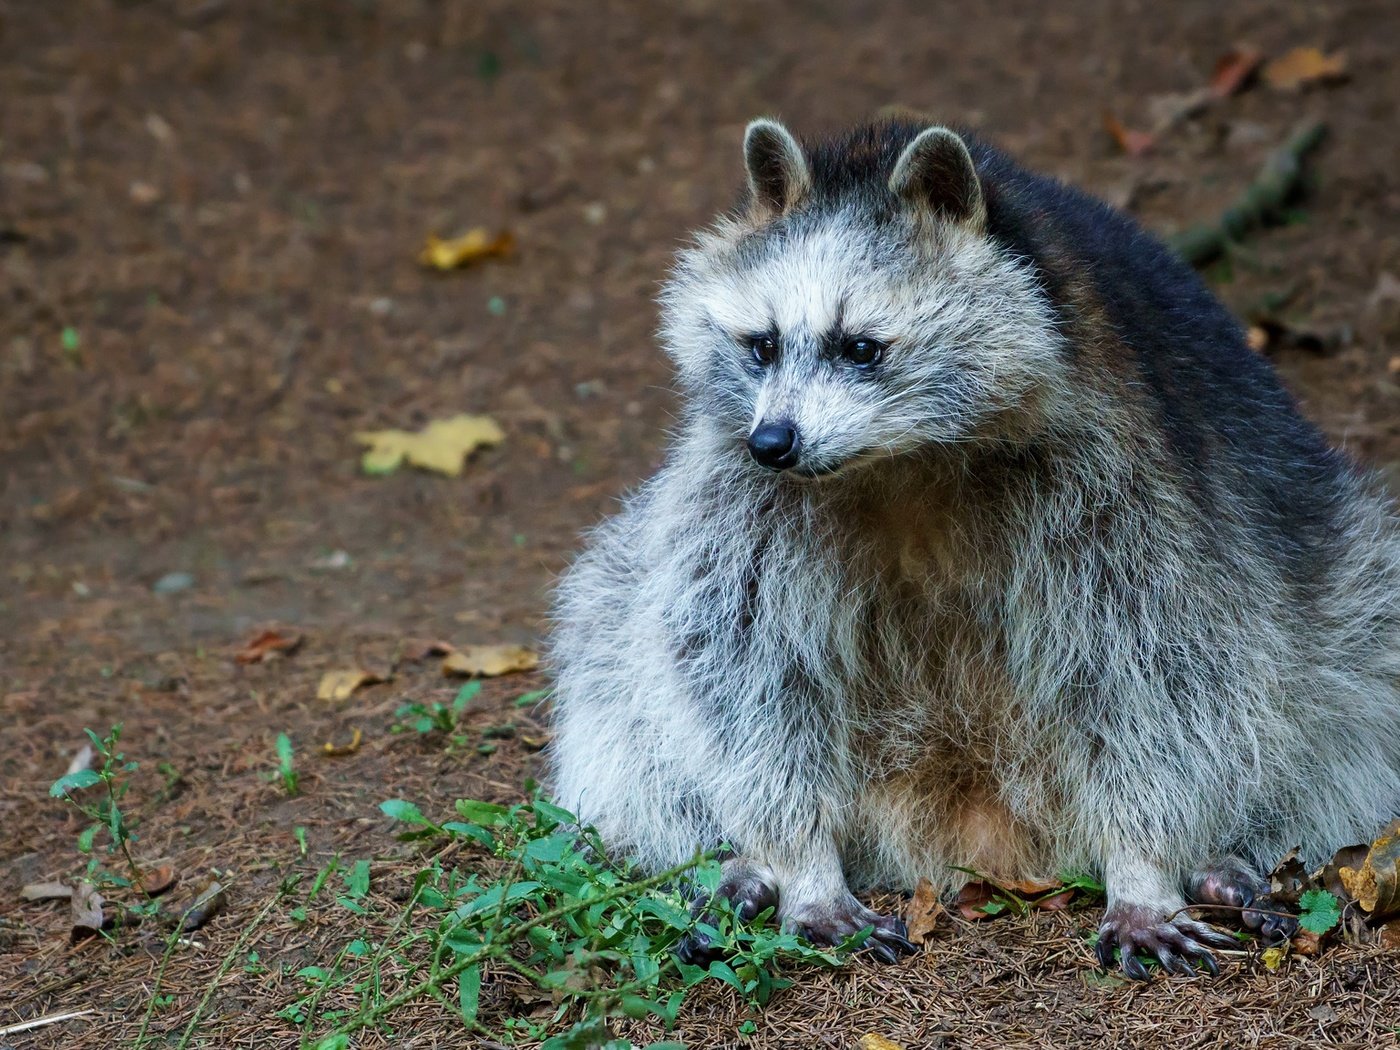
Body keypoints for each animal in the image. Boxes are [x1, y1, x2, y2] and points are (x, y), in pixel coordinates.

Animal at [543, 119, 1400, 985]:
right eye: (762, 345)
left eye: (862, 348)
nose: (773, 443)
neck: (899, 459)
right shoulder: (741, 504)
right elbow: (747, 676)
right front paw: (801, 861)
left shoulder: (1125, 487)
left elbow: (1155, 676)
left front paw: (1144, 866)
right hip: (635, 589)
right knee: (615, 668)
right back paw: (740, 860)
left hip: (1343, 590)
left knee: (1349, 685)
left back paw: (1224, 854)